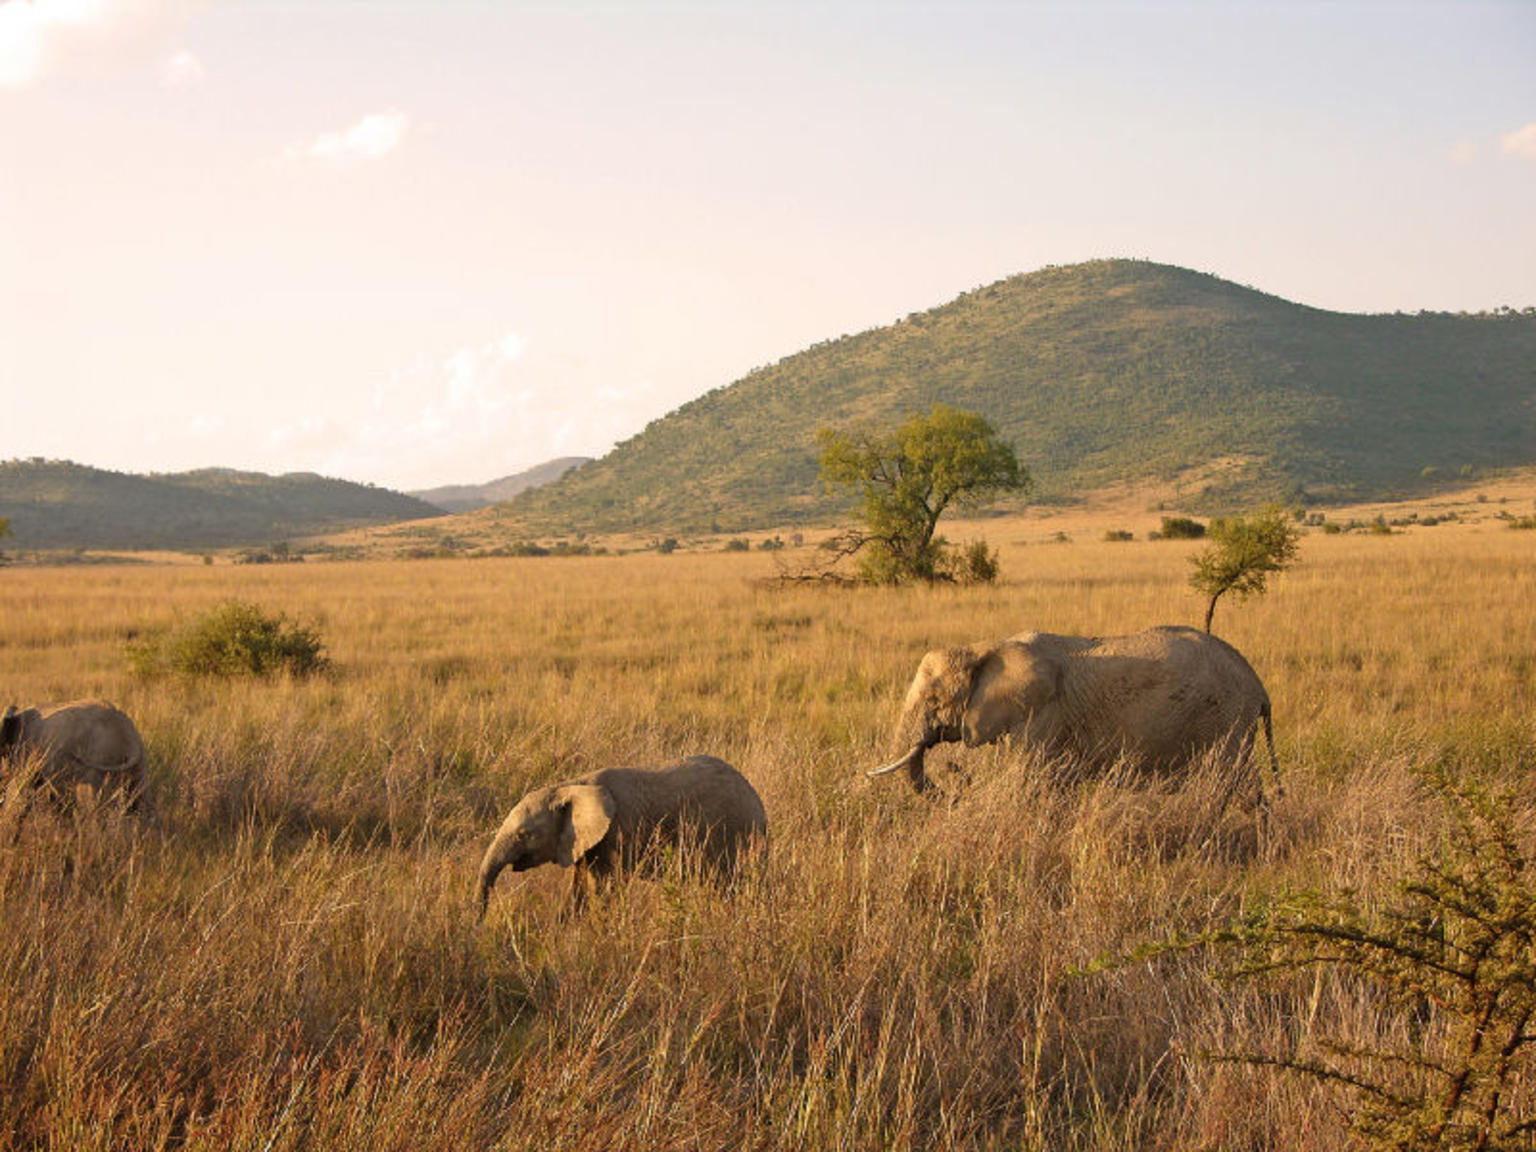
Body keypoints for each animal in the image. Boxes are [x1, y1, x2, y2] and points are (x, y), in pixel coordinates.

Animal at [872, 632, 1277, 804]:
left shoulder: (1043, 714)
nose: (957, 776)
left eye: (934, 701)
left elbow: (1031, 781)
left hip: (1225, 719)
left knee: (1225, 782)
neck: (984, 647)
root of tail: (1258, 685)